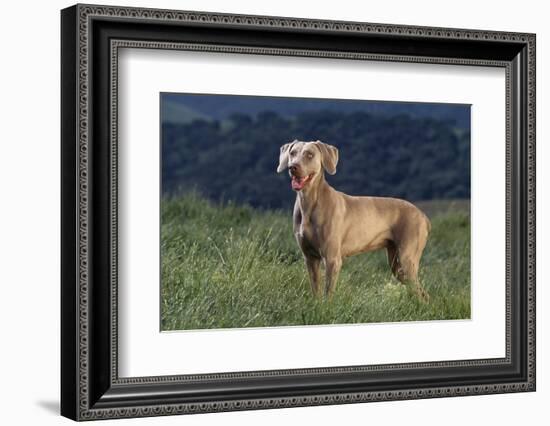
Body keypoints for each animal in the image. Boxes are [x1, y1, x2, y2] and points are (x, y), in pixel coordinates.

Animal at [278, 138, 434, 302]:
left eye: (309, 154)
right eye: (292, 153)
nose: (293, 167)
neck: (309, 203)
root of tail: (423, 216)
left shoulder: (332, 259)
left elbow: (328, 294)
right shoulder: (310, 258)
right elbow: (316, 290)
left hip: (407, 259)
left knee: (421, 293)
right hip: (396, 265)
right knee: (422, 293)